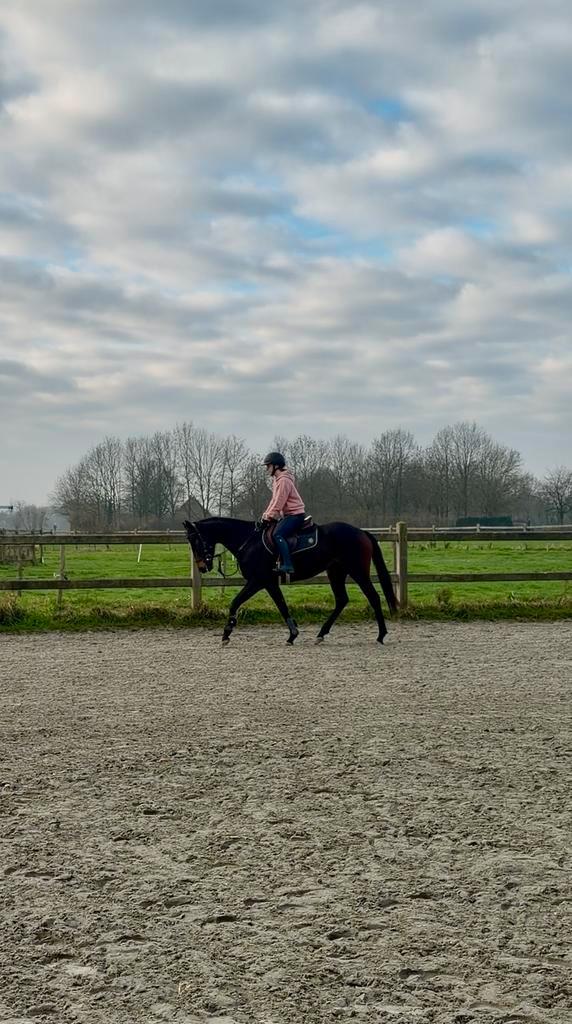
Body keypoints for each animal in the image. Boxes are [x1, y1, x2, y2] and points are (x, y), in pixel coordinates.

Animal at [183, 517, 398, 646]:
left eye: (195, 540)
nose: (201, 567)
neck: (249, 541)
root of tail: (361, 532)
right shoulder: (269, 583)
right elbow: (282, 605)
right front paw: (293, 633)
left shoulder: (258, 581)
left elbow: (236, 602)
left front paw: (227, 632)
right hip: (335, 572)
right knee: (342, 600)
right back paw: (321, 634)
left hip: (358, 572)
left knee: (373, 597)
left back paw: (381, 635)